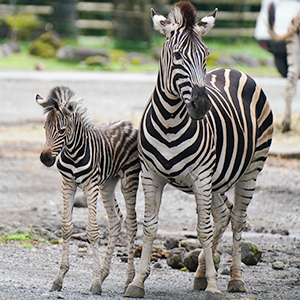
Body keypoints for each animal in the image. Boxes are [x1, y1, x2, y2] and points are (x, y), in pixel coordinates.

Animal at [35, 85, 141, 294]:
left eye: (61, 130)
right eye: (44, 128)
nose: (45, 159)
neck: (72, 152)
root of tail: (128, 123)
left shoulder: (90, 185)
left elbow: (92, 231)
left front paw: (96, 283)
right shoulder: (68, 183)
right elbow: (66, 227)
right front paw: (59, 278)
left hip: (129, 180)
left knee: (131, 224)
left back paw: (128, 281)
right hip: (107, 184)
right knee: (115, 221)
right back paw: (104, 273)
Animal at [124, 2, 274, 300]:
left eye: (205, 55)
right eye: (177, 55)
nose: (201, 106)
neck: (170, 121)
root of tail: (234, 70)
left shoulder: (201, 176)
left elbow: (202, 231)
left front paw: (214, 287)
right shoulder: (151, 175)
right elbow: (150, 226)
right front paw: (137, 281)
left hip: (250, 170)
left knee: (237, 220)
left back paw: (234, 279)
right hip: (217, 181)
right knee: (224, 213)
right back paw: (201, 275)